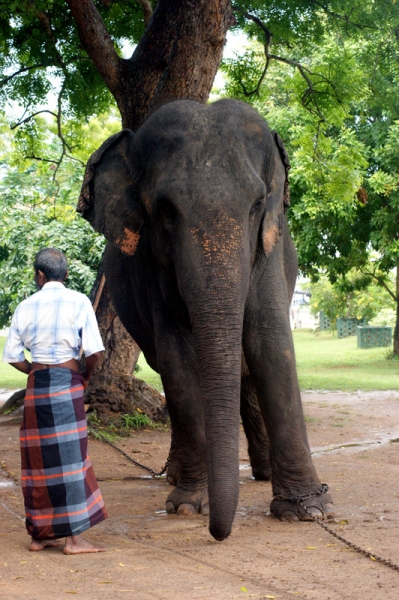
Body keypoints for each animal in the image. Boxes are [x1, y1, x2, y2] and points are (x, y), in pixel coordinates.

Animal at [77, 99, 334, 544]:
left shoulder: (269, 248)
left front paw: (309, 510)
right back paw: (178, 476)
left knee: (246, 367)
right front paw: (187, 505)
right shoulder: (152, 269)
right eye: (164, 211)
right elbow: (177, 357)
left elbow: (271, 343)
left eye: (256, 206)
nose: (219, 533)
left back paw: (263, 474)